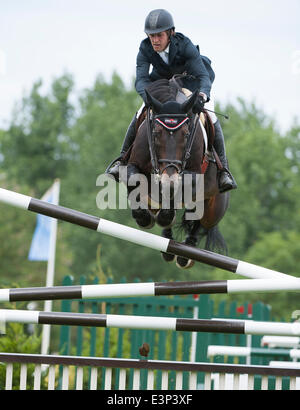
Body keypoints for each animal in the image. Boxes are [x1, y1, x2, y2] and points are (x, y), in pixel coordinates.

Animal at [122, 78, 230, 270]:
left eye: (186, 134)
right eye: (156, 133)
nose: (168, 175)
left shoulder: (190, 175)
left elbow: (176, 189)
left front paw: (165, 215)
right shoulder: (134, 163)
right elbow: (132, 179)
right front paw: (143, 217)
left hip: (213, 209)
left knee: (199, 223)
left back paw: (185, 254)